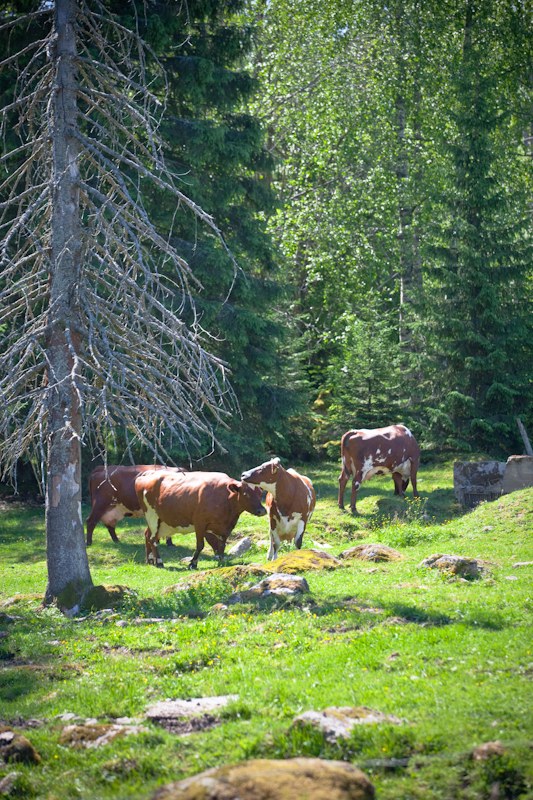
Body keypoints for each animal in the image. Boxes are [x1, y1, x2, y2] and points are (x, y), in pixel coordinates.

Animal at [134, 468, 264, 568]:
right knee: (153, 539)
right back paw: (159, 562)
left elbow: (222, 545)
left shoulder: (226, 527)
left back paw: (150, 560)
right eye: (246, 494)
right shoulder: (200, 523)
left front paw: (221, 562)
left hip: (162, 521)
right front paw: (193, 563)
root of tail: (148, 473)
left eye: (260, 494)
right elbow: (200, 545)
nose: (262, 510)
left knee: (147, 535)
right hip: (152, 516)